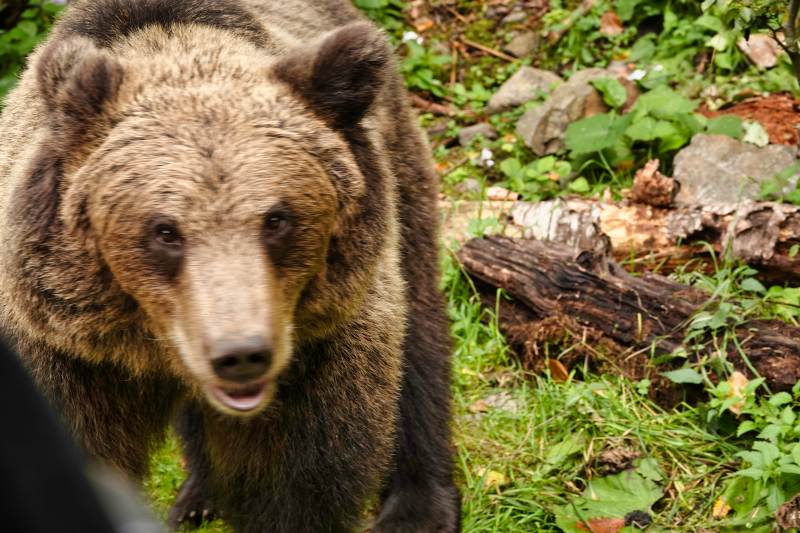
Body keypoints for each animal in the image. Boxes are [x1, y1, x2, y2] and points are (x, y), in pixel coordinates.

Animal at [0, 1, 460, 532]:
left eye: (277, 219)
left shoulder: (319, 355)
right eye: (164, 230)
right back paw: (199, 495)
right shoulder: (68, 358)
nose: (241, 353)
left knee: (419, 336)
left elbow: (298, 481)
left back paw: (419, 506)